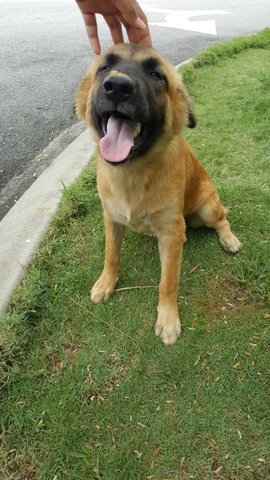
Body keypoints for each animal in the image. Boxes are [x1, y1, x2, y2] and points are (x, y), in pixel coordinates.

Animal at [74, 43, 240, 344]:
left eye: (156, 75)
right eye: (105, 67)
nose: (117, 87)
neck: (132, 174)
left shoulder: (171, 234)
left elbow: (168, 282)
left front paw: (168, 319)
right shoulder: (111, 219)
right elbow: (111, 254)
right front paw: (106, 283)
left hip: (207, 208)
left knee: (222, 219)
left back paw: (228, 238)